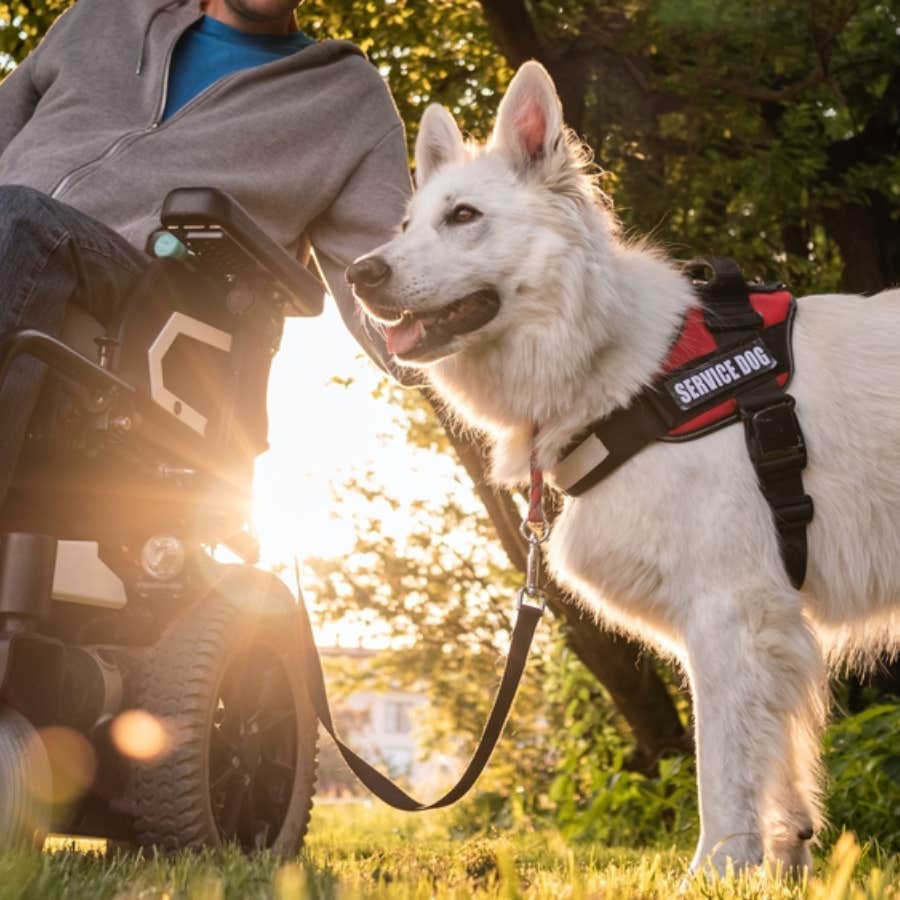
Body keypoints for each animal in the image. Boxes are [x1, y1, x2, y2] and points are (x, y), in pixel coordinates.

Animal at [348, 61, 900, 872]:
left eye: (463, 216)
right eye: (407, 226)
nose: (360, 272)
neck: (618, 364)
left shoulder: (730, 616)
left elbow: (723, 774)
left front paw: (715, 873)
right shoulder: (771, 632)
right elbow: (781, 773)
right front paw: (785, 861)